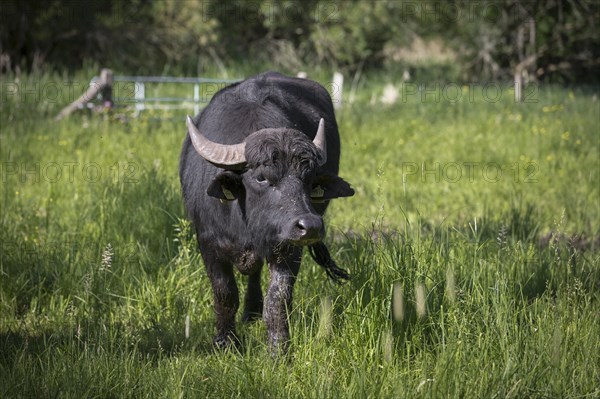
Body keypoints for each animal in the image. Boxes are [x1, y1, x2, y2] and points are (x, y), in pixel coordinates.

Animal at [180, 72, 354, 354]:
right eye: (261, 178)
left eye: (310, 179)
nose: (311, 225)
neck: (245, 225)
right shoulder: (207, 242)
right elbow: (224, 293)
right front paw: (225, 342)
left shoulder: (288, 247)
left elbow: (278, 299)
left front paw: (278, 348)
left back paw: (253, 311)